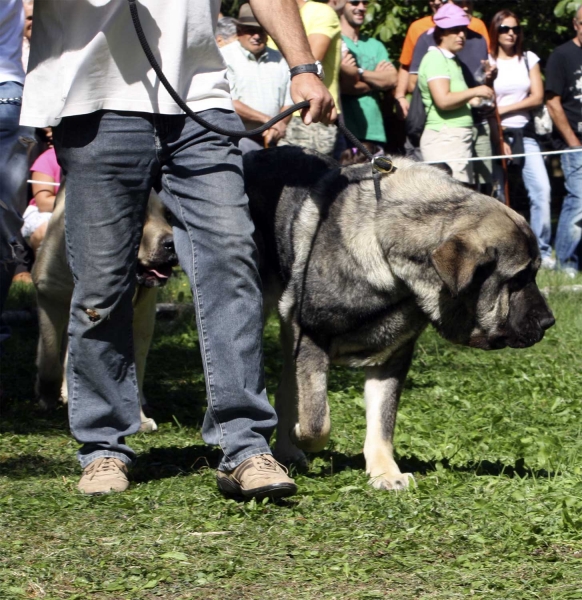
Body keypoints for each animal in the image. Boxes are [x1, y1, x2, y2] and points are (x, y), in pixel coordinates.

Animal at [32, 188, 177, 432]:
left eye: (168, 216)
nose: (172, 243)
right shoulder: (49, 295)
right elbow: (50, 359)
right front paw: (47, 398)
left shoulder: (141, 320)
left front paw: (138, 419)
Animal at [245, 146, 556, 492]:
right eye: (518, 279)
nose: (549, 321)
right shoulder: (311, 335)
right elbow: (316, 421)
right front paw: (301, 433)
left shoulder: (392, 357)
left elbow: (382, 421)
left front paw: (385, 473)